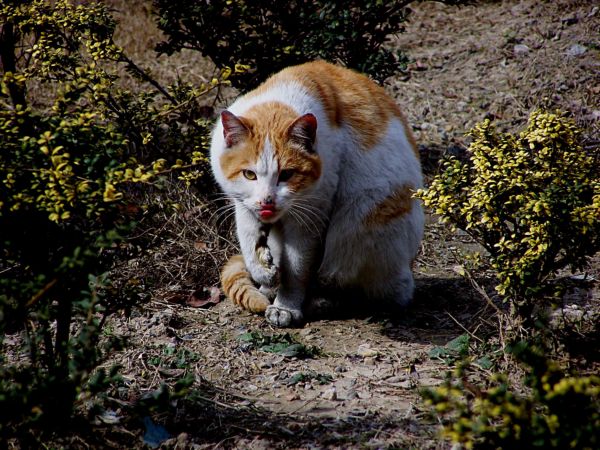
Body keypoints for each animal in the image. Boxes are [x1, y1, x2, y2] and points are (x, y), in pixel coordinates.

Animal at [209, 59, 424, 326]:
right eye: (249, 175)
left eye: (287, 174)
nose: (267, 201)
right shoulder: (244, 205)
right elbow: (248, 239)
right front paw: (263, 271)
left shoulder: (309, 219)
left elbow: (296, 269)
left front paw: (286, 307)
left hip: (363, 222)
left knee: (354, 284)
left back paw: (321, 301)